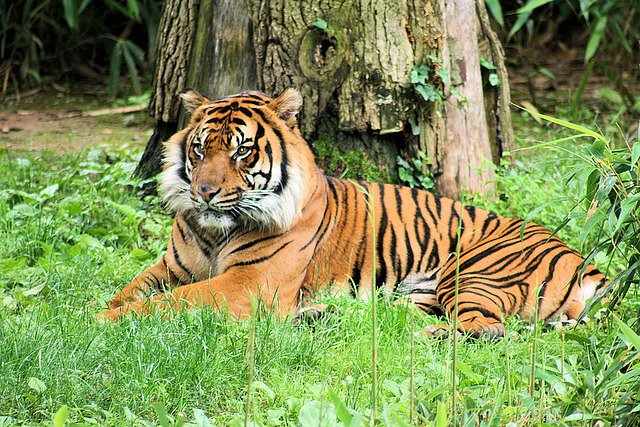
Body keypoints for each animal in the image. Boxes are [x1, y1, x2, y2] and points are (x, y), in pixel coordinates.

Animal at [97, 88, 608, 340]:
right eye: (201, 149)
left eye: (242, 151)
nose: (203, 193)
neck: (214, 232)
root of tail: (585, 262)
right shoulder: (170, 267)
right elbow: (129, 291)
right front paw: (88, 310)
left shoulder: (249, 282)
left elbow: (169, 303)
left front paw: (98, 321)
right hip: (423, 291)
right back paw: (327, 316)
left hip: (474, 272)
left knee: (490, 329)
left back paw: (420, 338)